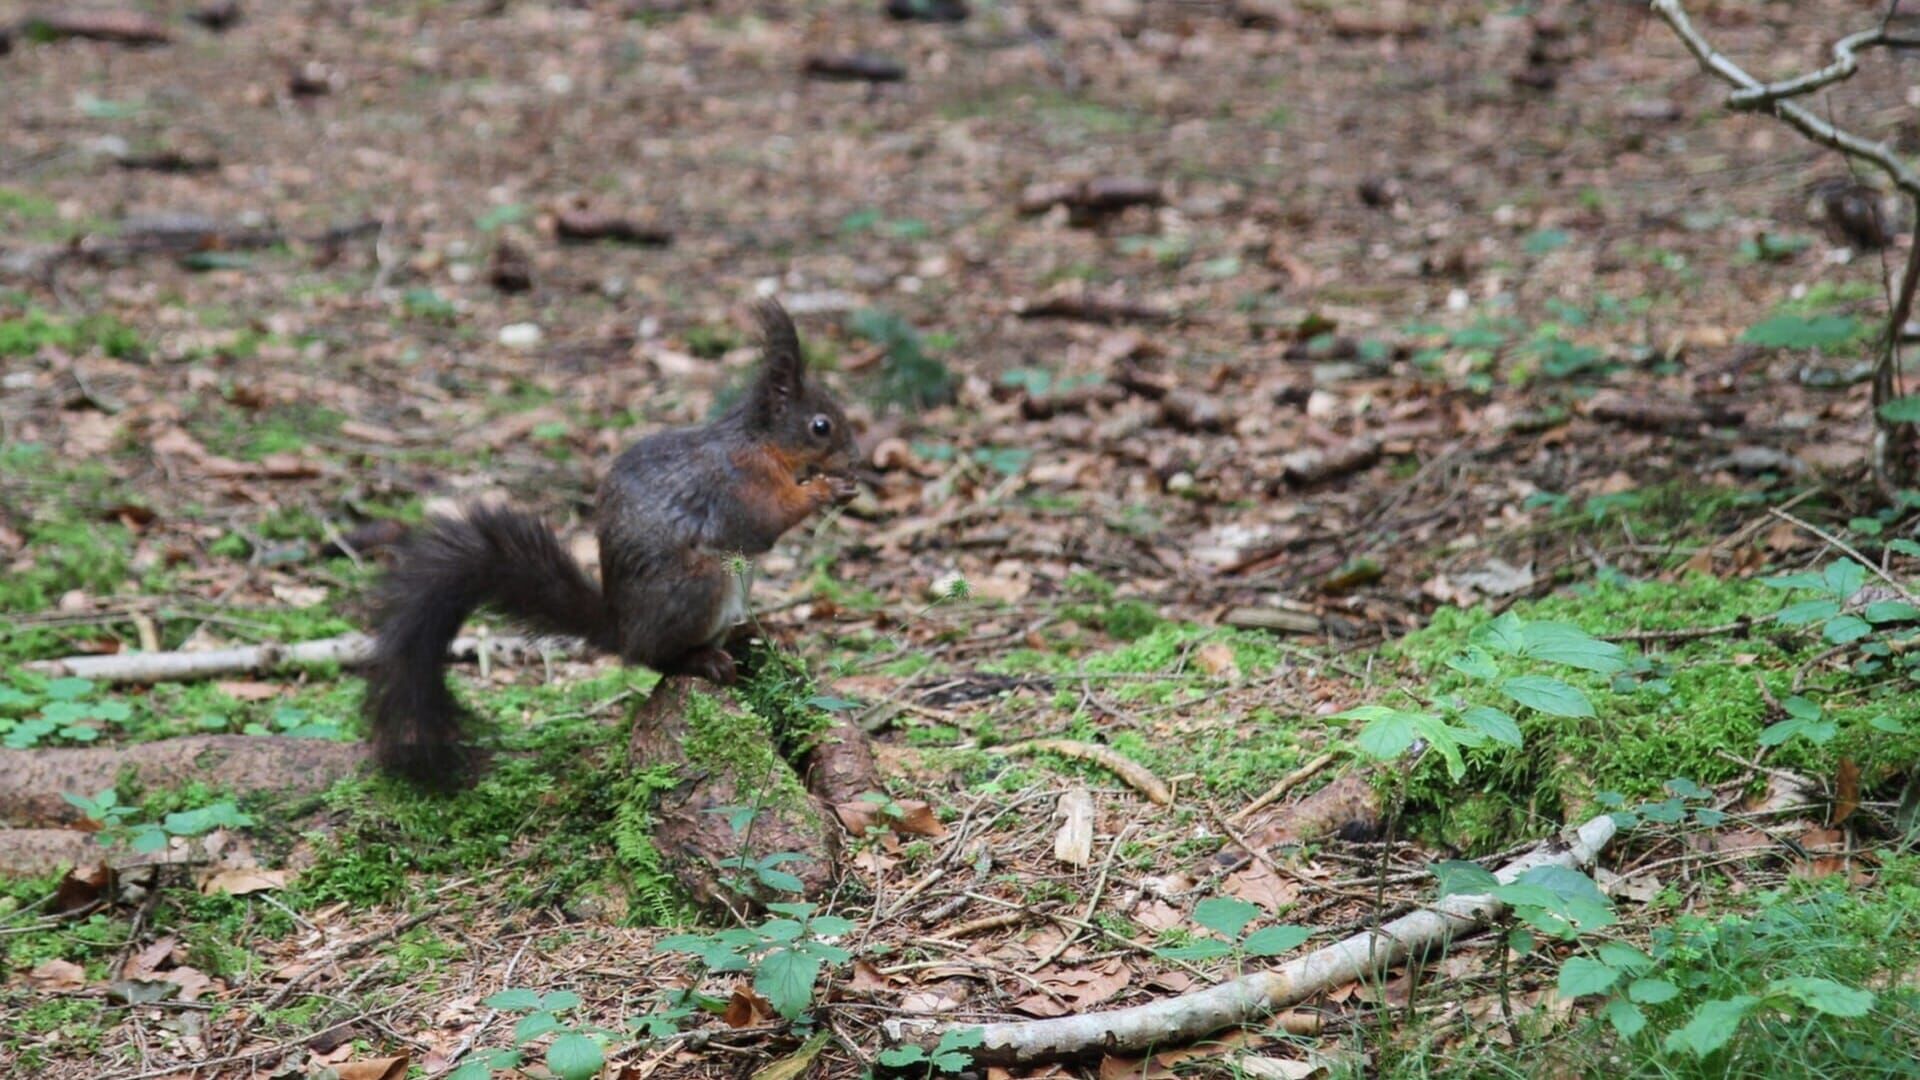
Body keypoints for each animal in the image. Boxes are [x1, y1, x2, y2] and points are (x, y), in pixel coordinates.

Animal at [362, 297, 860, 787]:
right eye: (821, 426)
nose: (857, 459)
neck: (761, 443)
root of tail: (624, 631)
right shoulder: (736, 484)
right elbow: (762, 524)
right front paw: (825, 489)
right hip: (699, 585)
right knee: (661, 660)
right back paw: (703, 660)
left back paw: (748, 633)